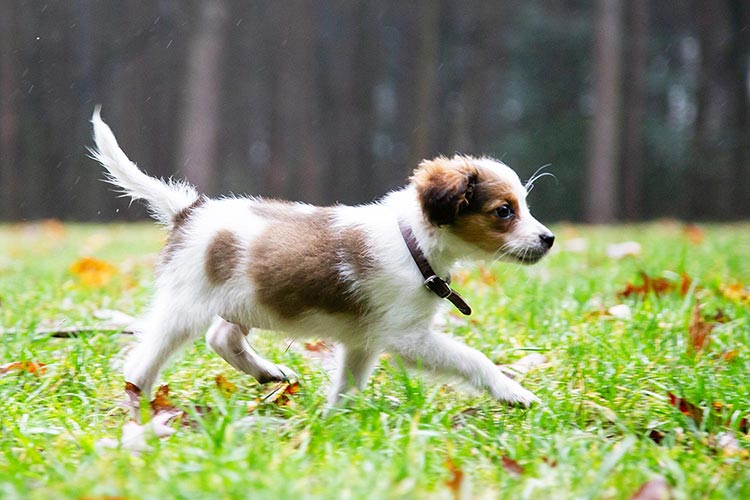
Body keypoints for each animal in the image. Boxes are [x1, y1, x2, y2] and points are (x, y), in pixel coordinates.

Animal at [91, 107, 556, 408]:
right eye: (504, 211)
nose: (549, 239)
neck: (414, 245)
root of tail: (191, 211)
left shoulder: (364, 339)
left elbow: (347, 385)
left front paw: (335, 419)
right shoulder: (407, 337)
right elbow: (474, 358)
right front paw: (514, 392)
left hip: (246, 297)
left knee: (221, 337)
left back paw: (267, 373)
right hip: (185, 306)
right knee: (143, 360)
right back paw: (138, 407)